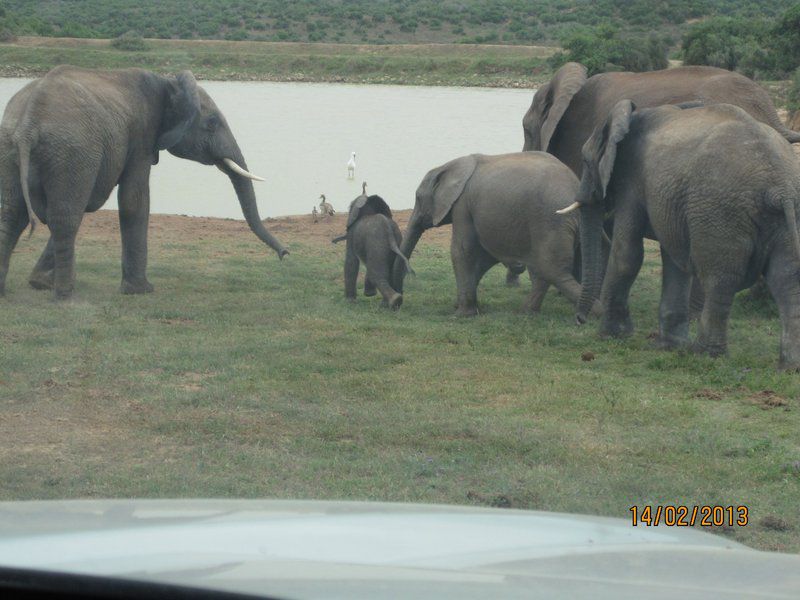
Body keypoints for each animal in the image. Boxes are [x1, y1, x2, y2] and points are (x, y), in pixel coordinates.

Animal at [0, 65, 288, 300]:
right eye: (212, 123)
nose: (285, 254)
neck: (167, 82)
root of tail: (29, 123)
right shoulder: (141, 133)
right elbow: (133, 200)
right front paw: (141, 291)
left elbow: (91, 202)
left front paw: (38, 283)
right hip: (71, 151)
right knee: (65, 218)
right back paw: (66, 297)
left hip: (15, 146)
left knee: (13, 215)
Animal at [564, 101, 800, 368]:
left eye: (585, 161)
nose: (580, 320)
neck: (629, 117)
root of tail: (780, 189)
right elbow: (675, 262)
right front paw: (668, 346)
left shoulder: (632, 181)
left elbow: (627, 254)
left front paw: (610, 336)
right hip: (783, 216)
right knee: (786, 279)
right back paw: (789, 367)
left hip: (720, 212)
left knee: (719, 279)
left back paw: (705, 355)